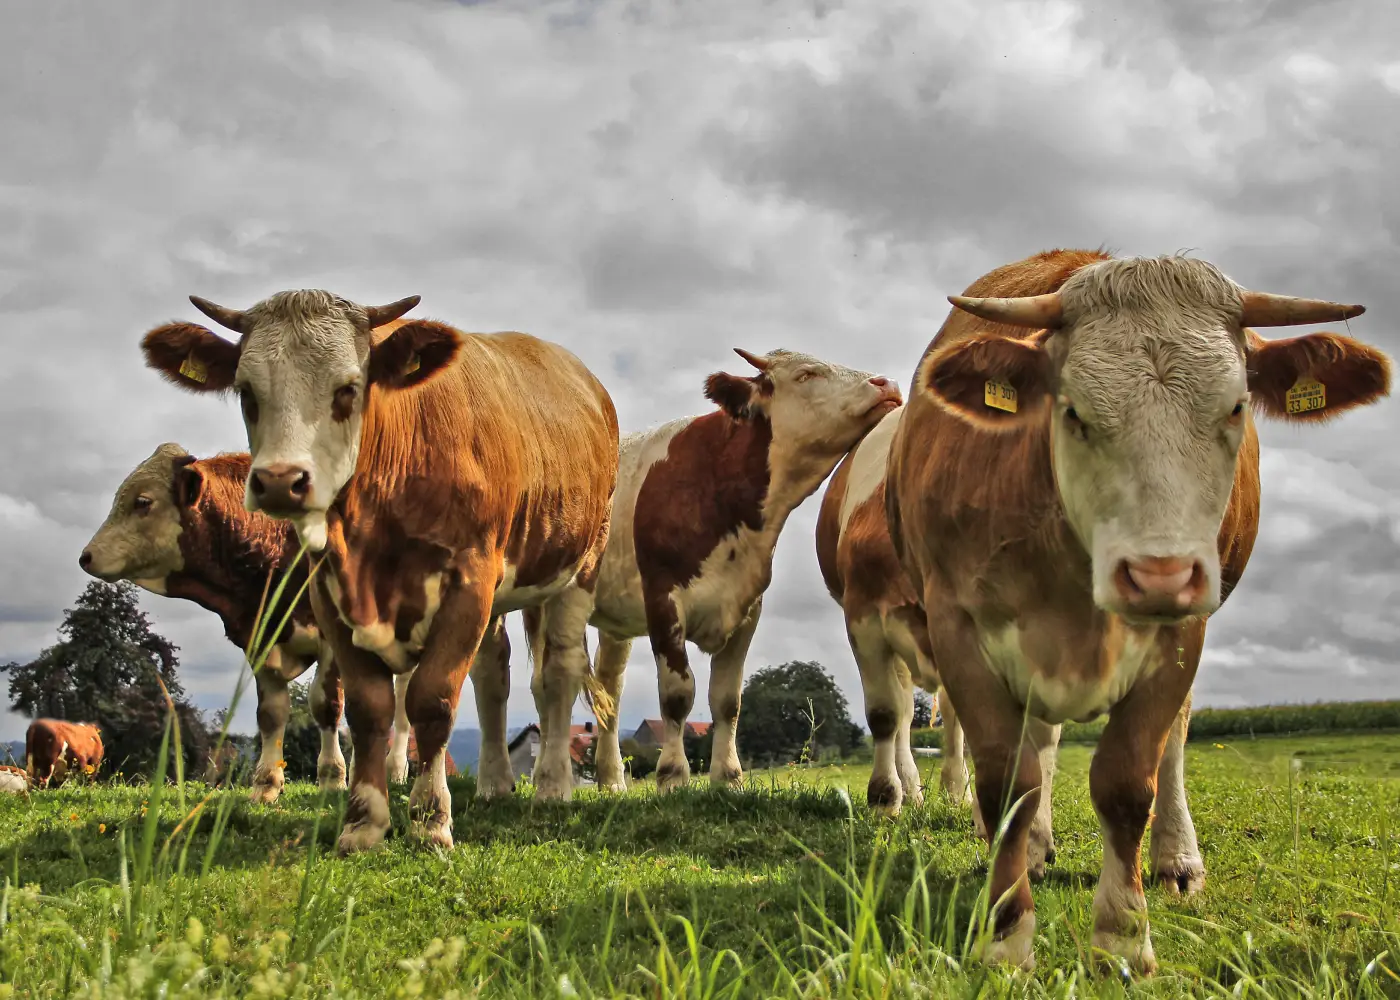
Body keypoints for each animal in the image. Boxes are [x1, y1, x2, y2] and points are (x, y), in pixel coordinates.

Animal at [80, 444, 350, 803]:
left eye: (143, 502)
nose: (86, 556)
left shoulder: (333, 637)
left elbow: (326, 705)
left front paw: (333, 780)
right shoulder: (258, 641)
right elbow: (271, 713)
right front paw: (266, 784)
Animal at [139, 290, 619, 853]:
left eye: (348, 389)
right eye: (246, 391)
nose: (280, 481)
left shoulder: (470, 580)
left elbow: (431, 699)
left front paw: (431, 819)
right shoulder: (329, 594)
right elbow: (369, 708)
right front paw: (364, 821)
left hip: (579, 565)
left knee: (559, 671)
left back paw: (550, 786)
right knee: (492, 672)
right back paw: (496, 782)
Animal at [538, 348, 902, 797]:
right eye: (806, 374)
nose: (887, 383)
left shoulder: (747, 608)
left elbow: (727, 700)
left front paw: (727, 777)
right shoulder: (663, 600)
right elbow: (678, 695)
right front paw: (672, 776)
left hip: (613, 621)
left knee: (609, 688)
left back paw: (612, 781)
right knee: (544, 685)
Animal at [885, 248, 1389, 974]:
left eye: (1236, 407)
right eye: (1073, 411)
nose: (1160, 574)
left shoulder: (1182, 634)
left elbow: (1127, 784)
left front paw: (1122, 937)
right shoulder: (958, 626)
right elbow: (1009, 784)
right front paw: (1007, 937)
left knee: (1170, 743)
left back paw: (1177, 861)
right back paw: (1033, 852)